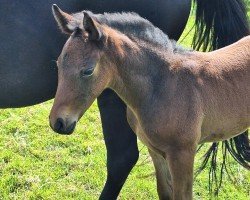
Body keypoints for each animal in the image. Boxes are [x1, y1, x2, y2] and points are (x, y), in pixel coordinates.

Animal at [0, 0, 248, 199]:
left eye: (88, 71)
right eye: (59, 63)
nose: (59, 122)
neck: (165, 84)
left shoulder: (183, 153)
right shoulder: (156, 150)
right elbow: (164, 192)